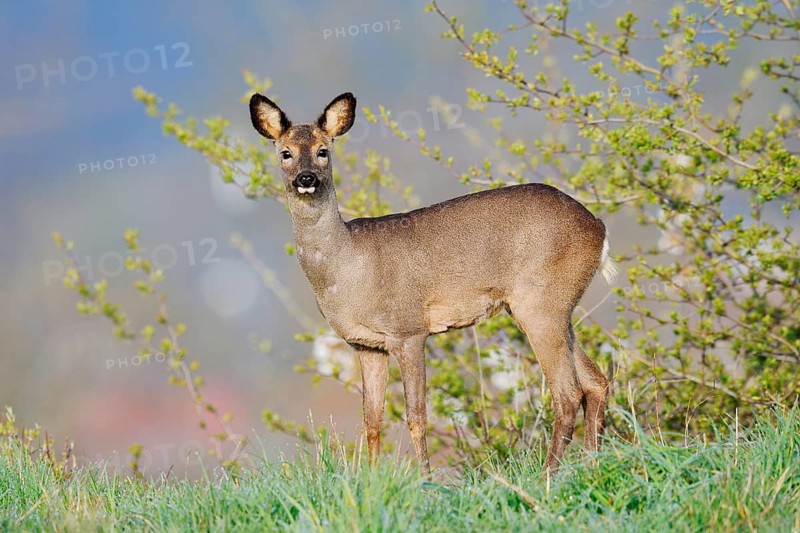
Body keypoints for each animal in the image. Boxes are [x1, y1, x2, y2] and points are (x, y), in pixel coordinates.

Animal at [249, 91, 616, 474]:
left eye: (323, 150)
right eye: (285, 153)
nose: (306, 178)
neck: (346, 269)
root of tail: (599, 229)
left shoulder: (408, 330)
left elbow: (416, 416)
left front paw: (425, 477)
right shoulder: (366, 345)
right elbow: (372, 420)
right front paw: (372, 477)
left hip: (539, 303)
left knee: (568, 392)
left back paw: (549, 473)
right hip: (556, 309)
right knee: (596, 382)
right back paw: (591, 464)